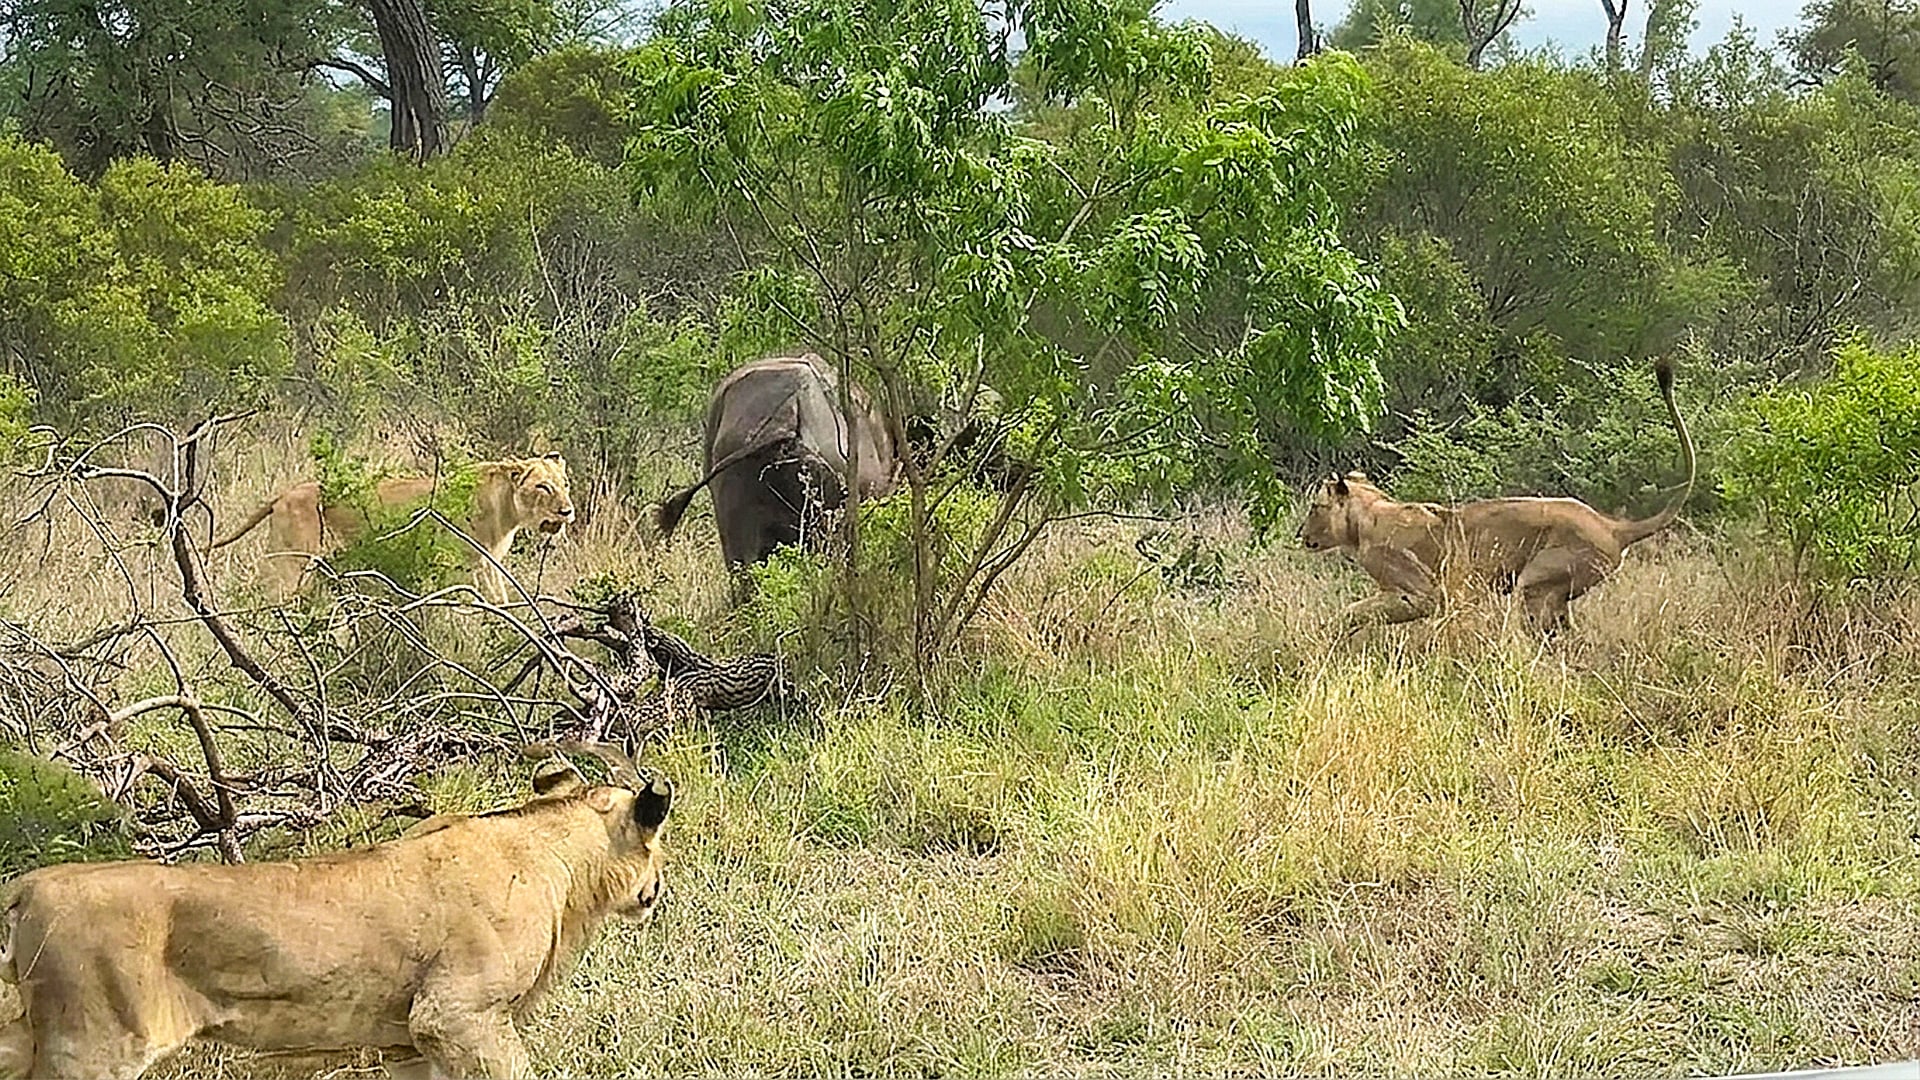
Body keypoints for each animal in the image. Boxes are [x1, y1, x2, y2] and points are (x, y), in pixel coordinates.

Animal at [210, 452, 575, 603]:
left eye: (565, 485)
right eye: (543, 487)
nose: (568, 511)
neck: (505, 512)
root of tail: (284, 493)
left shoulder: (488, 564)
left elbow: (500, 603)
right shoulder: (457, 566)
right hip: (290, 565)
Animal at [1298, 359, 1695, 635]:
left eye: (1315, 507)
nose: (1301, 536)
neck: (1365, 517)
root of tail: (1612, 526)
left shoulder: (1424, 593)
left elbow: (1354, 611)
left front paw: (1332, 634)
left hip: (1535, 584)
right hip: (1553, 593)